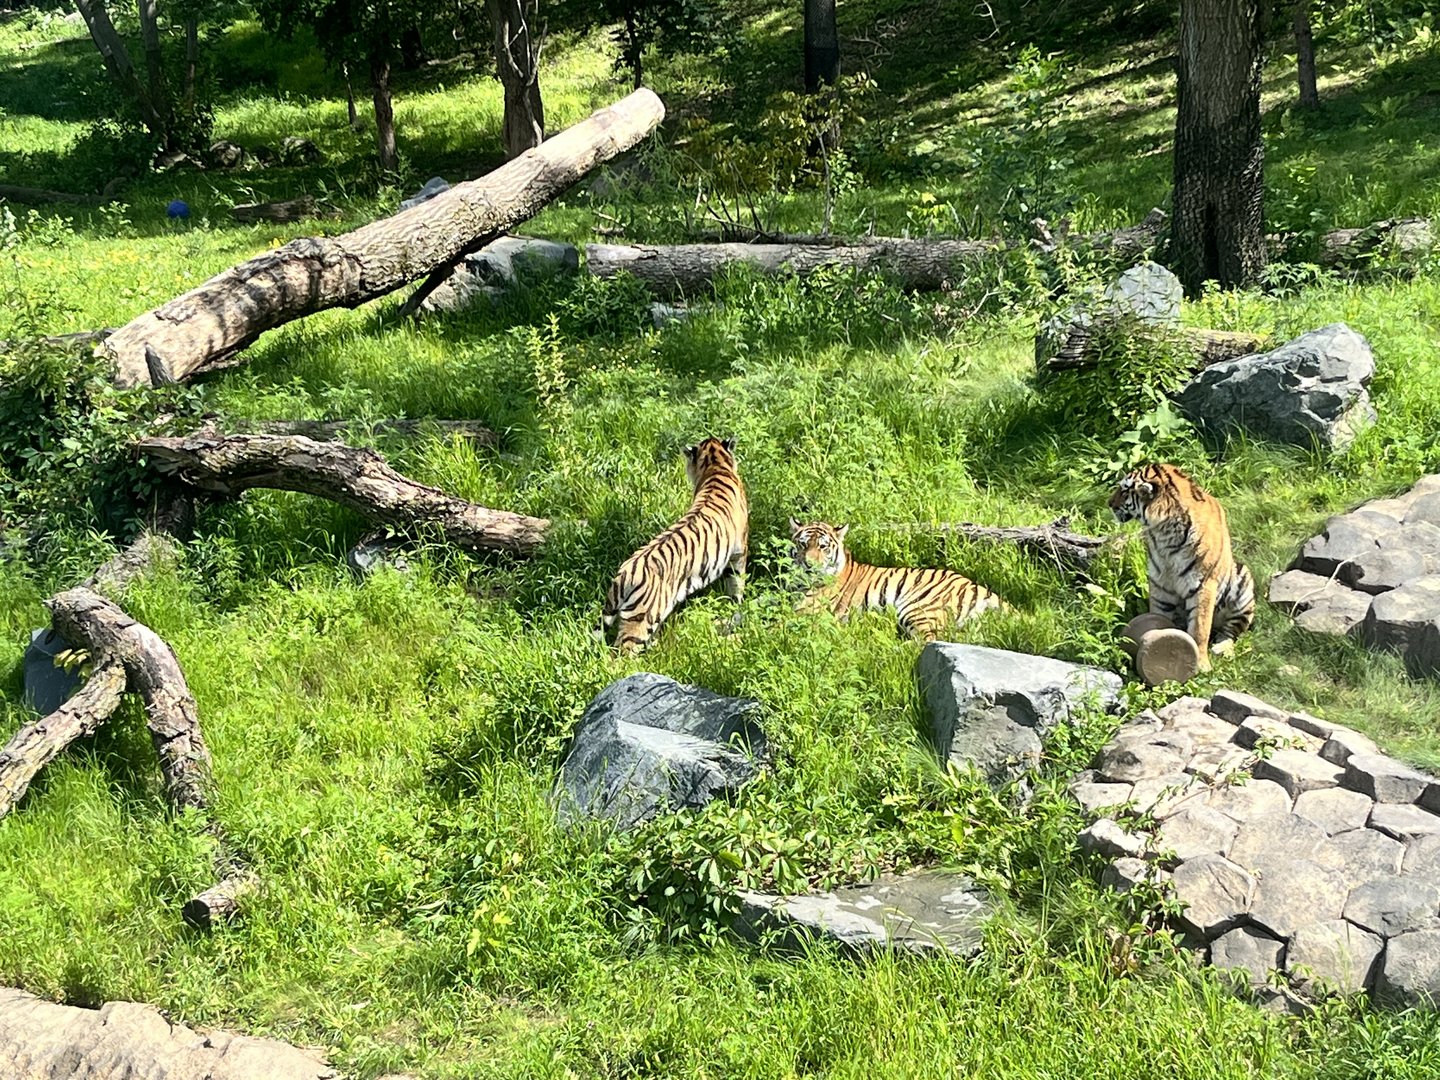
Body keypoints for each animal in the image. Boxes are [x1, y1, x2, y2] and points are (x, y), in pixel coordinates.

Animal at [602, 437, 748, 655]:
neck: (716, 466)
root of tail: (624, 574)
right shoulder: (739, 550)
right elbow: (737, 581)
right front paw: (736, 603)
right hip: (641, 619)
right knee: (621, 653)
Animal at [788, 519, 1005, 641]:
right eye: (803, 544)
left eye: (823, 547)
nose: (809, 565)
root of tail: (981, 588)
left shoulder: (804, 611)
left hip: (917, 606)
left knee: (930, 640)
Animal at [1109, 462, 1255, 670]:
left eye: (1124, 490)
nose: (1109, 503)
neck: (1163, 532)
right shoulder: (1160, 584)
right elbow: (1158, 615)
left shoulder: (1203, 585)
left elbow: (1200, 628)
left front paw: (1200, 665)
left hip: (1243, 584)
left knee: (1230, 631)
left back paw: (1222, 649)